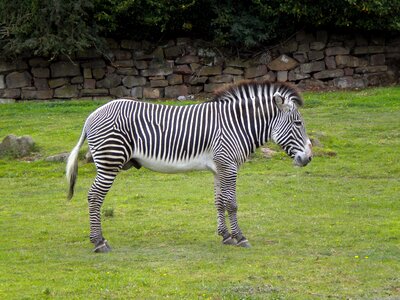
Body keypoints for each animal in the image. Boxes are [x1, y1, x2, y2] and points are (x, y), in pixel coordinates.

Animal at [66, 81, 312, 252]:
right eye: (298, 123)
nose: (308, 158)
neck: (235, 125)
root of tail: (91, 116)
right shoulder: (229, 166)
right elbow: (232, 204)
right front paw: (241, 238)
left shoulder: (219, 168)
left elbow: (219, 202)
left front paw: (226, 236)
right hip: (110, 162)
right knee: (94, 197)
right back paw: (99, 242)